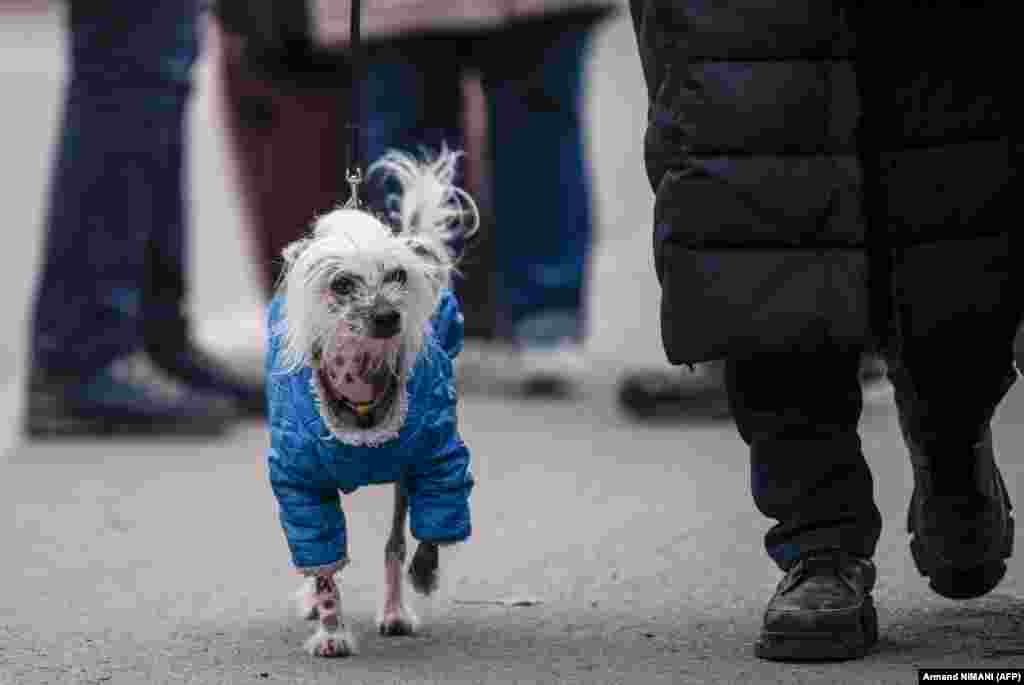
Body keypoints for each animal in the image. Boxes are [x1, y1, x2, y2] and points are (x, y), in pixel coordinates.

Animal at [268, 147, 483, 655]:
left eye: (398, 275)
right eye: (342, 284)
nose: (388, 316)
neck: (362, 396)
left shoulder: (431, 462)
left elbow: (421, 535)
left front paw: (421, 577)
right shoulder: (302, 484)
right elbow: (324, 565)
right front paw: (330, 631)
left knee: (394, 544)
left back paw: (395, 609)